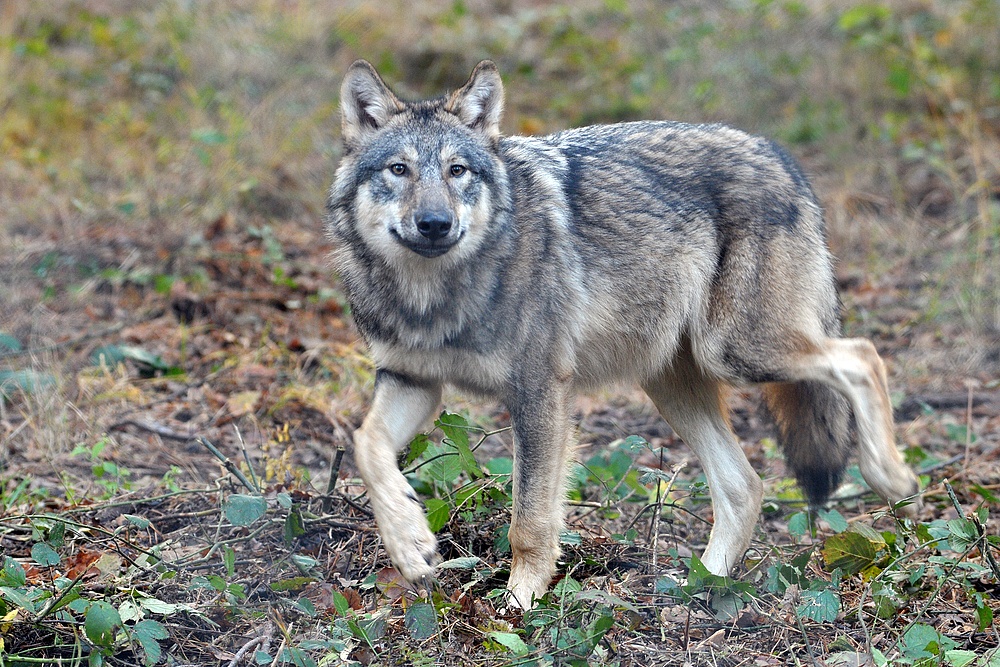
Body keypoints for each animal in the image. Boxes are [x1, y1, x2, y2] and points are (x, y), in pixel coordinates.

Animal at [328, 60, 920, 608]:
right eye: (399, 169)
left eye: (457, 171)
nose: (435, 224)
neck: (432, 298)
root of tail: (777, 154)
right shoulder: (411, 381)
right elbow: (366, 447)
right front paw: (410, 545)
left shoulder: (539, 392)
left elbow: (529, 522)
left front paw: (518, 607)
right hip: (673, 382)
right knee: (745, 486)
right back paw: (696, 587)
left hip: (737, 352)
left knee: (862, 355)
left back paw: (892, 478)